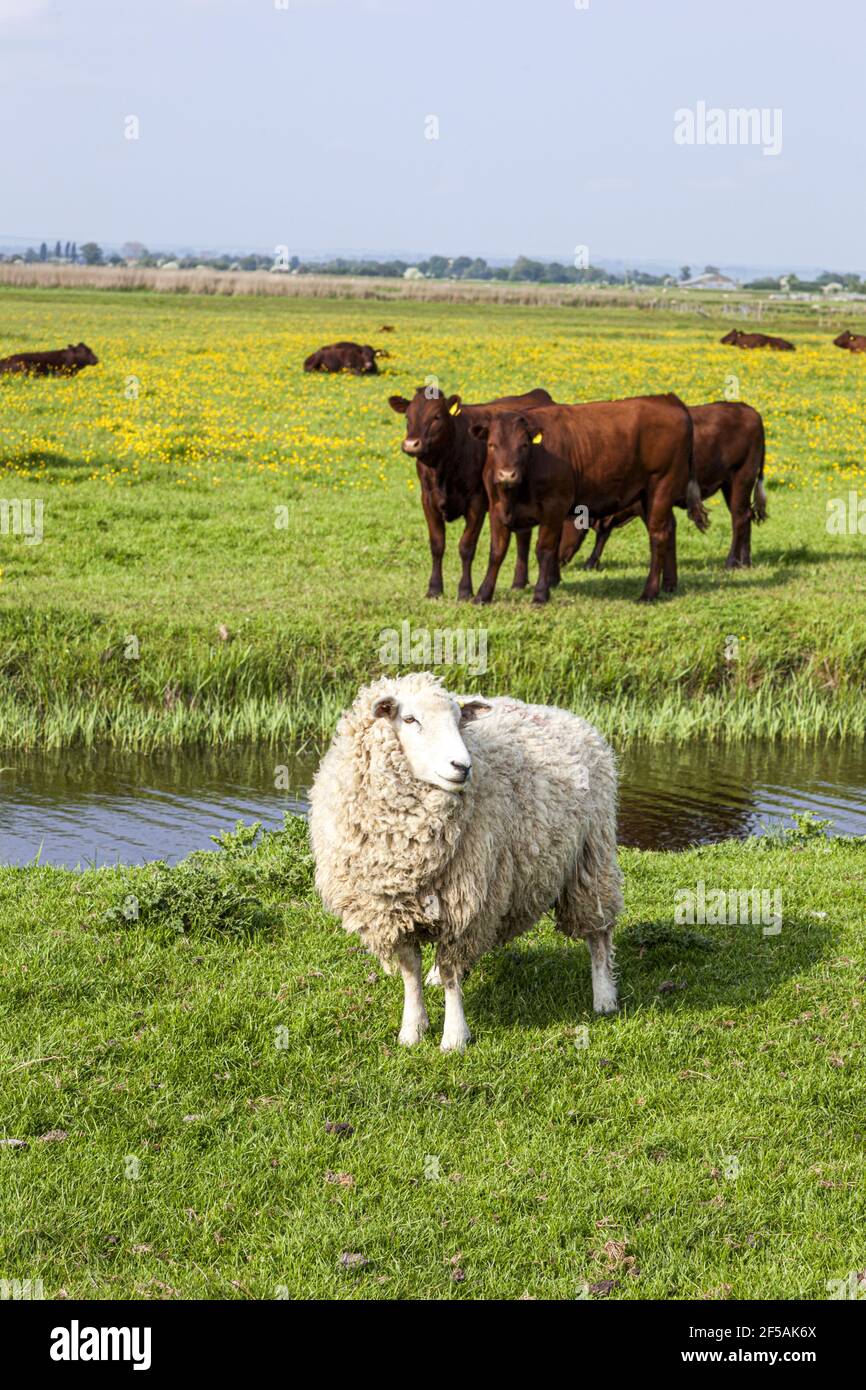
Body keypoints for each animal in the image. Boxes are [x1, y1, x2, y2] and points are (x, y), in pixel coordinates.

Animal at [311, 672, 622, 1050]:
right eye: (409, 719)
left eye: (460, 720)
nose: (462, 766)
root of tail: (567, 715)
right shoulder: (392, 910)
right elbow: (410, 970)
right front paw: (412, 1029)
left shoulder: (465, 904)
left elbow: (451, 972)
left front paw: (454, 1037)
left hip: (592, 855)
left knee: (599, 932)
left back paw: (604, 996)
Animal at [389, 386, 556, 597]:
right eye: (407, 417)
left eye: (436, 416)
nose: (411, 444)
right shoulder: (428, 499)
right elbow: (437, 544)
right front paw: (434, 589)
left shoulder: (477, 501)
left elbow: (466, 546)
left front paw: (465, 590)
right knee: (523, 537)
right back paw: (519, 582)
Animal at [467, 394, 706, 606]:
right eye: (491, 445)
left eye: (524, 445)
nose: (507, 475)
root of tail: (668, 399)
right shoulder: (497, 509)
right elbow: (496, 552)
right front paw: (482, 595)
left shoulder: (554, 506)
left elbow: (544, 550)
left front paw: (541, 595)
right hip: (647, 496)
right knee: (669, 529)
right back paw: (669, 584)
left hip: (661, 486)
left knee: (658, 536)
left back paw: (649, 593)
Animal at [567, 403, 767, 575]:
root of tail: (750, 411)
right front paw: (591, 563)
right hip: (729, 485)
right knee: (746, 515)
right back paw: (745, 562)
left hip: (741, 478)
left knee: (739, 518)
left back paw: (731, 562)